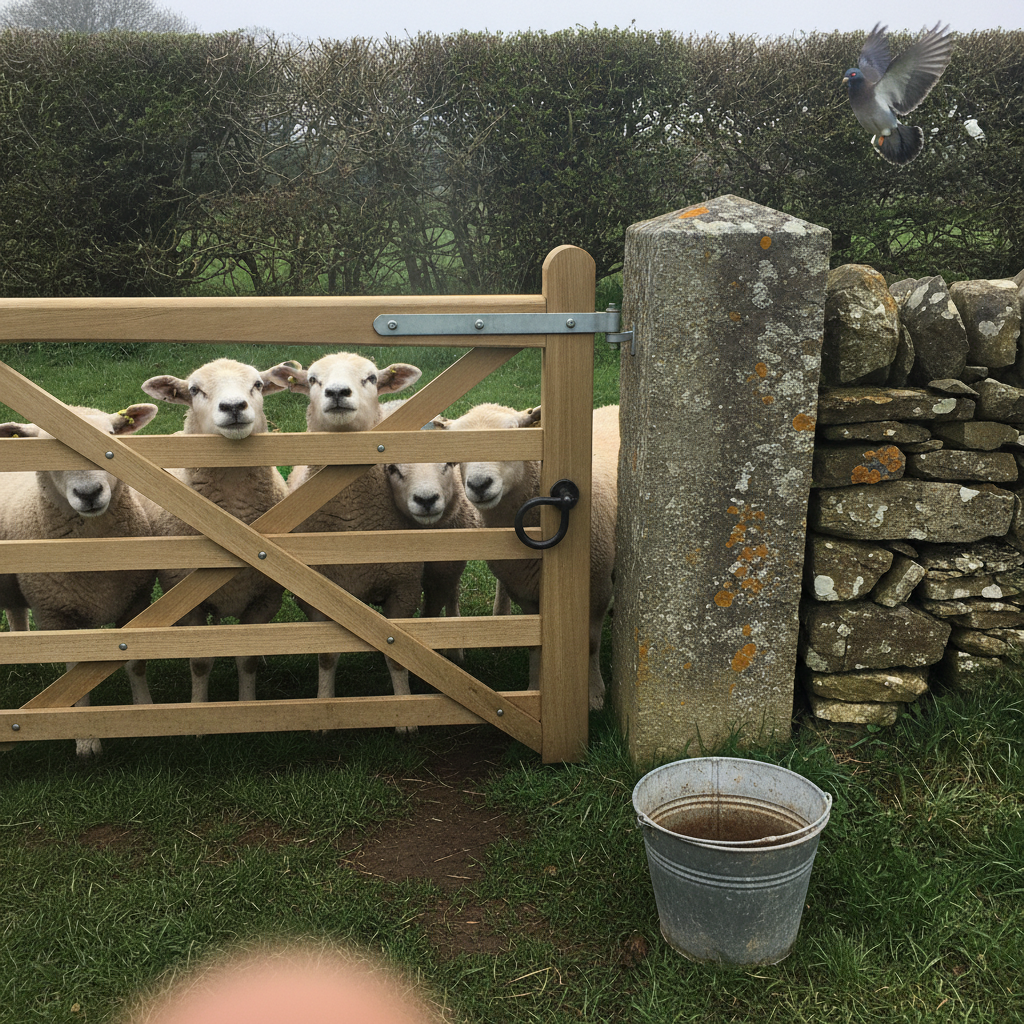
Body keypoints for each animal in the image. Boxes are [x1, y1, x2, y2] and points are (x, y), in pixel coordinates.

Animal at [0, 403, 160, 757]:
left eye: (112, 438)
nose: (89, 494)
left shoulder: (137, 601)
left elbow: (135, 664)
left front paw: (143, 710)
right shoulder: (57, 615)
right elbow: (75, 676)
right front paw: (86, 739)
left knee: (15, 608)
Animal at [139, 358, 290, 703]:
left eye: (258, 384)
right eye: (194, 390)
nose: (233, 406)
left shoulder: (266, 598)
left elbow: (247, 660)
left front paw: (247, 702)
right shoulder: (188, 601)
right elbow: (200, 662)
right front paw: (198, 705)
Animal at [265, 352, 425, 718]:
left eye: (371, 378)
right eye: (312, 379)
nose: (337, 392)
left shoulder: (404, 588)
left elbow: (398, 657)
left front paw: (405, 713)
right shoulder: (315, 595)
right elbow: (327, 655)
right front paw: (325, 707)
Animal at [433, 403, 619, 709]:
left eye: (515, 435)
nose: (480, 484)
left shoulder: (597, 587)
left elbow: (590, 643)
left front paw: (593, 695)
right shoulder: (525, 590)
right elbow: (534, 643)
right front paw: (535, 686)